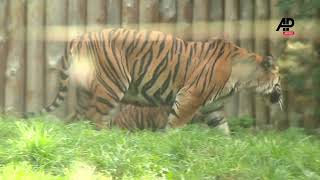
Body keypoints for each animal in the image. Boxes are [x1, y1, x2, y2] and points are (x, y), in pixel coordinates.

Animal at [25, 27, 282, 129]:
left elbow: (223, 130)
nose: (281, 99)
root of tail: (80, 37)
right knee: (96, 119)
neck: (243, 80)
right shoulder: (190, 97)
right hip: (111, 86)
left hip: (86, 92)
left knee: (78, 118)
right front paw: (169, 142)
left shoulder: (214, 108)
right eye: (279, 81)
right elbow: (174, 125)